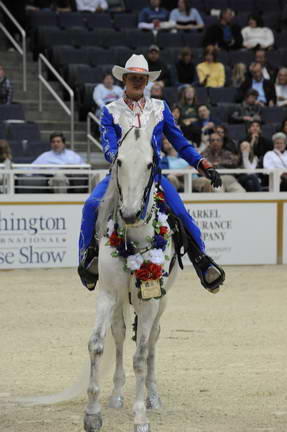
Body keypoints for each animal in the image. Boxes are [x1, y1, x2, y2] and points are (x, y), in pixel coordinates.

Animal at [84, 115, 180, 432]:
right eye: (119, 162)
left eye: (150, 164)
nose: (127, 213)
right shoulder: (108, 294)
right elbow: (97, 344)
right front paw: (92, 413)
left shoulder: (149, 300)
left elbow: (140, 355)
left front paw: (140, 417)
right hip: (121, 302)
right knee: (119, 335)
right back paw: (115, 395)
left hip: (161, 301)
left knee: (150, 342)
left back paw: (152, 396)